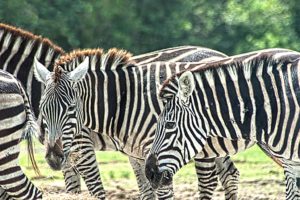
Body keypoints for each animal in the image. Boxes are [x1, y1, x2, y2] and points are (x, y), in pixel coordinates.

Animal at [31, 47, 276, 199]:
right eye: (42, 109)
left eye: (71, 109)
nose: (53, 157)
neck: (124, 101)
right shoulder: (138, 155)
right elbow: (146, 191)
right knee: (230, 175)